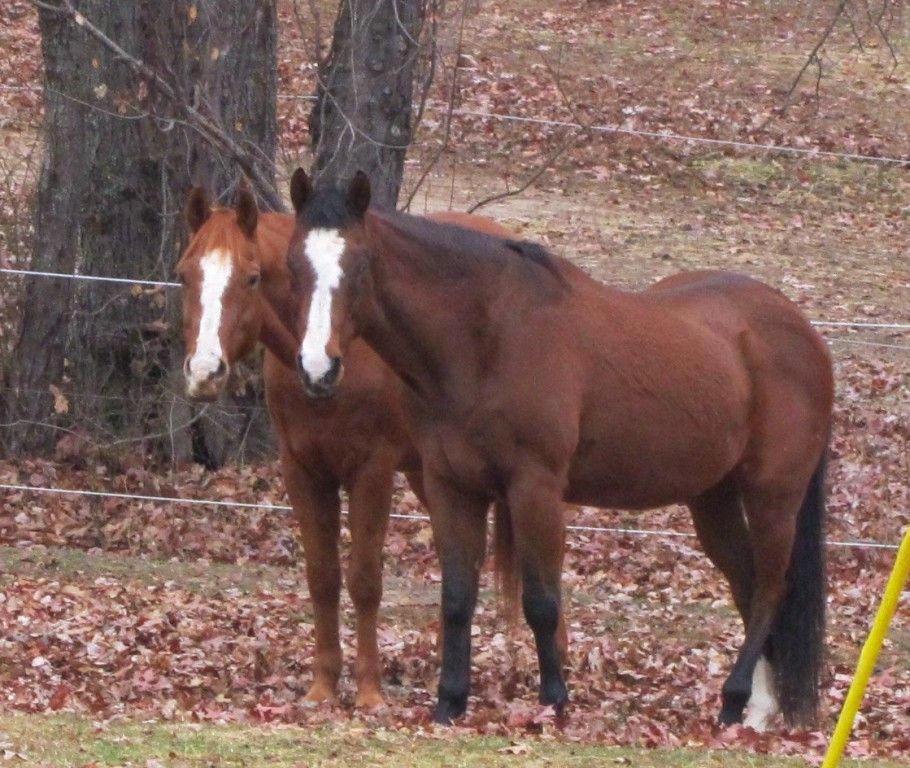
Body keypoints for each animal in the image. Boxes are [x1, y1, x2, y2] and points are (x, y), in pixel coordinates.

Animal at [176, 184, 540, 708]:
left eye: (251, 277)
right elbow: (323, 577)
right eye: (184, 274)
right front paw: (323, 685)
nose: (205, 372)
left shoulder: (372, 471)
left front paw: (369, 689)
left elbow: (365, 579)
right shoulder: (304, 471)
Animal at [288, 170, 836, 732]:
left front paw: (553, 698)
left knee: (770, 588)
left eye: (358, 266)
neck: (487, 337)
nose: (317, 368)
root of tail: (802, 331)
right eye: (293, 265)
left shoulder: (535, 487)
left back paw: (734, 696)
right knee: (748, 585)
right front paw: (450, 702)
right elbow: (457, 598)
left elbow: (541, 600)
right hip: (713, 498)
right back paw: (756, 709)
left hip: (773, 495)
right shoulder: (451, 486)